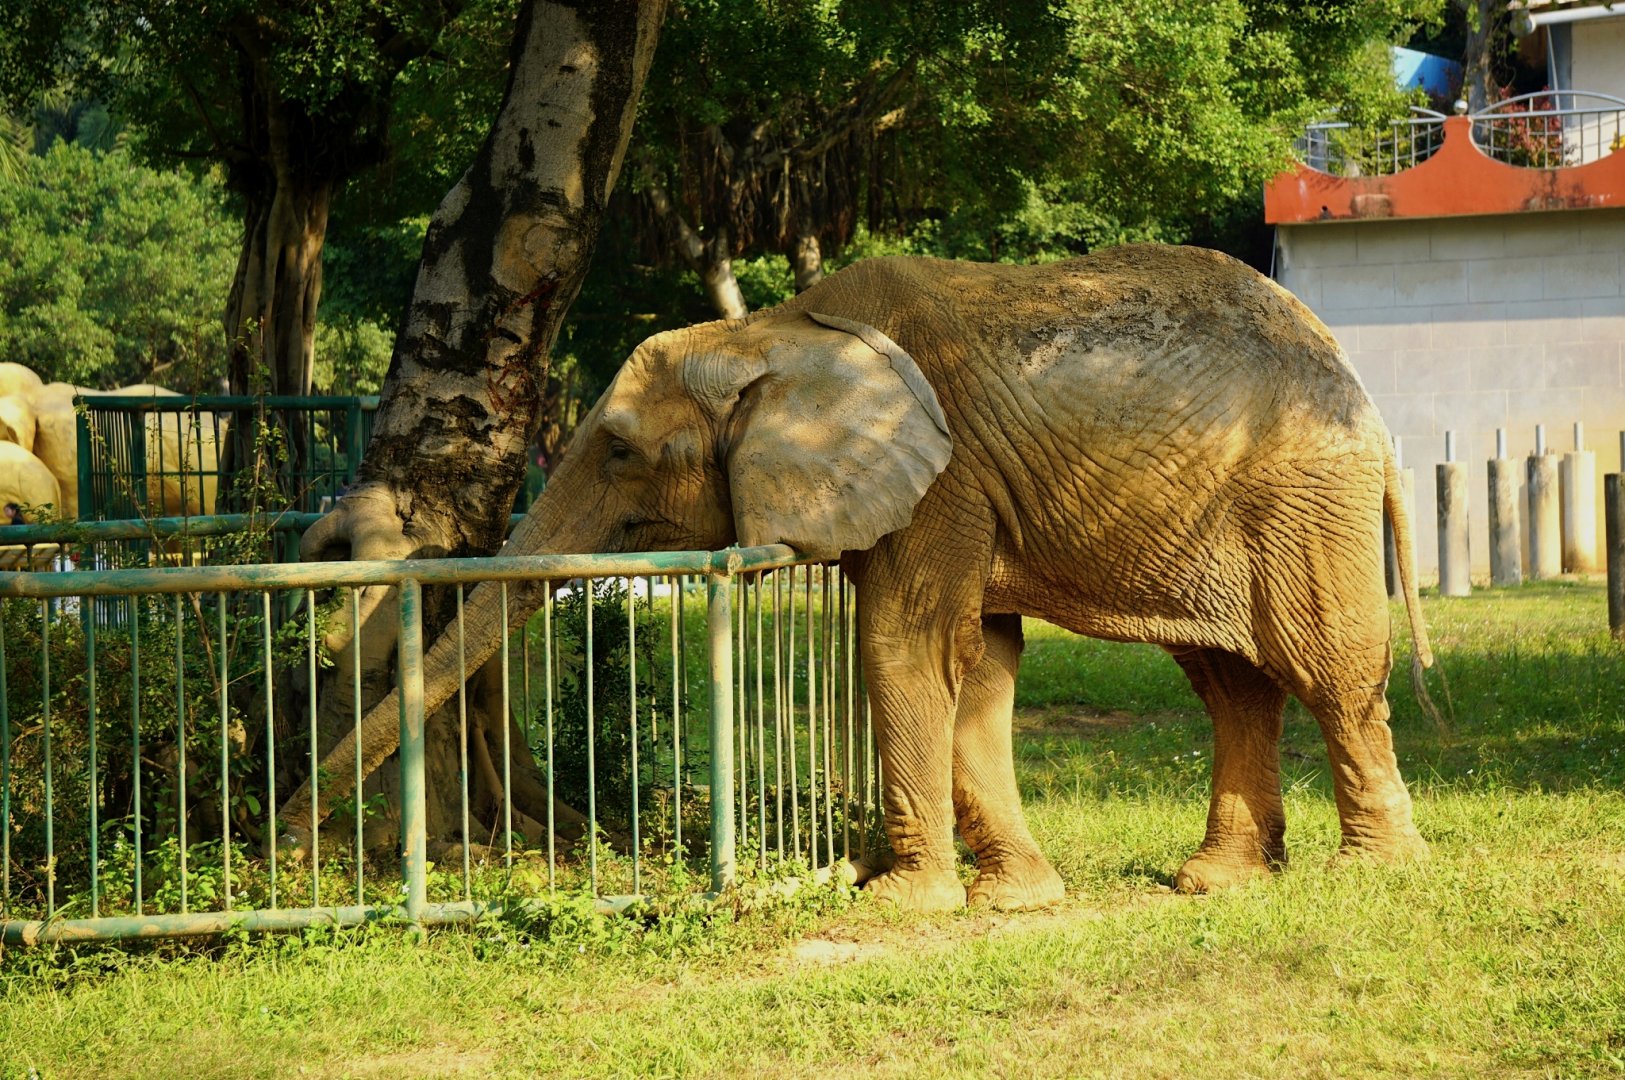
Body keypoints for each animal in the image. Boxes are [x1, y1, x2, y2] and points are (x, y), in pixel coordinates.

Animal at [280, 243, 1435, 911]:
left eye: (615, 449)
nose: (284, 835)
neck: (775, 328)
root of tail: (1354, 379)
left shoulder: (947, 472)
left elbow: (907, 641)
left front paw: (897, 908)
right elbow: (982, 664)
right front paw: (1009, 903)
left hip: (1301, 494)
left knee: (1322, 666)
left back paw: (1371, 873)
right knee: (1228, 680)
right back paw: (1213, 883)